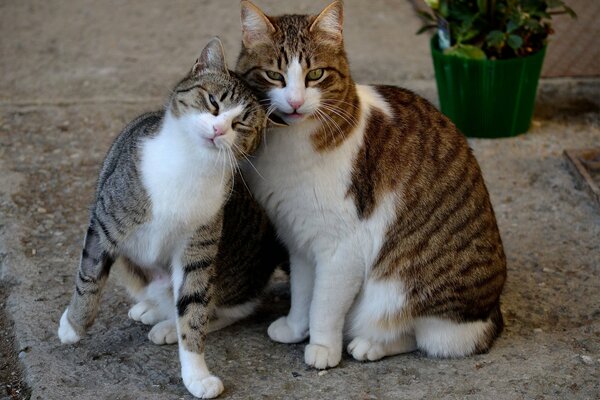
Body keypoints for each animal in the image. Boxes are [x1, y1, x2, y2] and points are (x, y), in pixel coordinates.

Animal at [56, 36, 286, 396]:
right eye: (212, 102)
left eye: (241, 124)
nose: (219, 130)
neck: (190, 163)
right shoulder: (105, 221)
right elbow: (89, 277)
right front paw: (73, 325)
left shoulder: (198, 247)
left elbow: (193, 310)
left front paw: (196, 374)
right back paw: (150, 310)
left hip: (237, 277)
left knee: (228, 308)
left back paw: (167, 326)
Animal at [234, 0, 506, 370]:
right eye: (274, 75)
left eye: (315, 75)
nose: (295, 102)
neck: (290, 146)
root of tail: (494, 314)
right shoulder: (299, 240)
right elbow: (304, 294)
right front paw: (294, 327)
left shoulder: (342, 250)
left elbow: (323, 305)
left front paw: (322, 347)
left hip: (407, 295)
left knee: (422, 336)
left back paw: (370, 344)